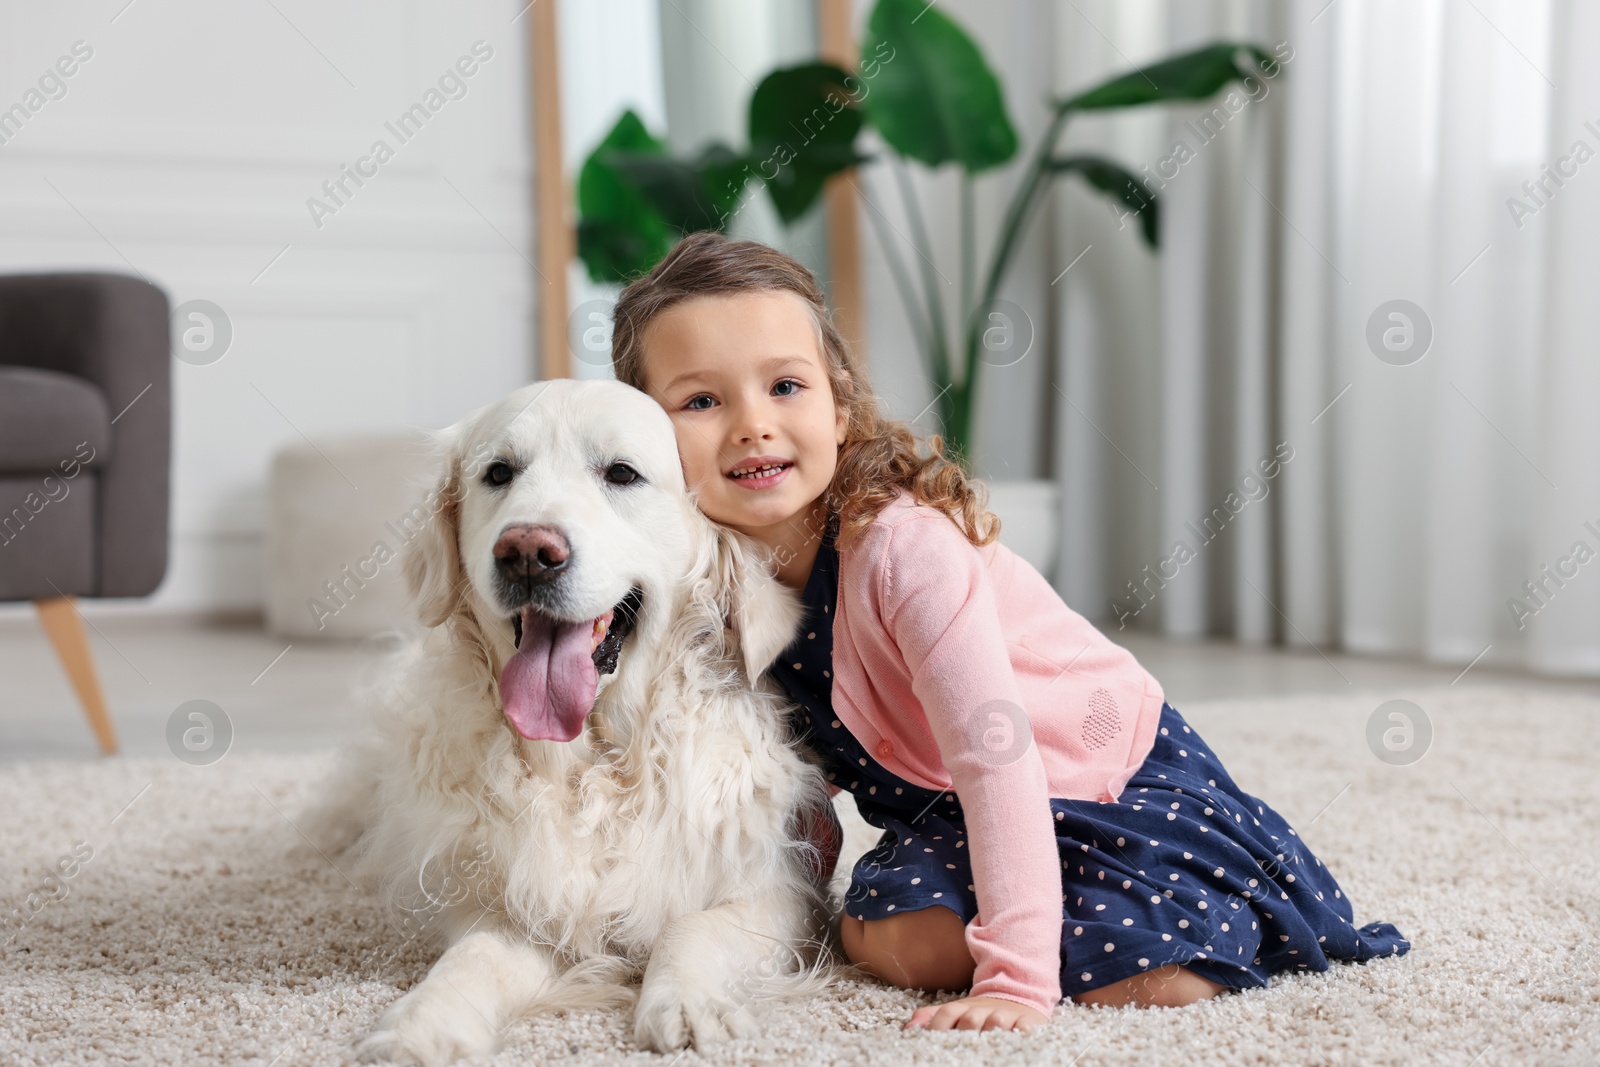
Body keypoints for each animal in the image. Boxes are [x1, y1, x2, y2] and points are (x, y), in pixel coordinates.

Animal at [304, 379, 844, 1062]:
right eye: (498, 473)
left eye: (622, 473)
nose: (528, 553)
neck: (596, 760)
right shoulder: (512, 900)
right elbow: (471, 959)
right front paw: (420, 1025)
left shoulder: (782, 893)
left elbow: (694, 927)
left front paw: (687, 1003)